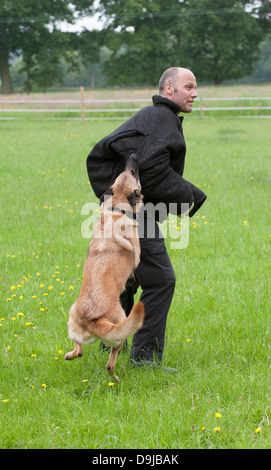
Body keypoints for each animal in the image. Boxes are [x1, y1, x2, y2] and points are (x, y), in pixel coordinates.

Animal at [64, 155, 144, 382]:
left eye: (127, 171)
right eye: (133, 173)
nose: (133, 156)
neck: (117, 208)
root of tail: (92, 318)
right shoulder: (137, 254)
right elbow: (135, 262)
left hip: (72, 319)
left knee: (79, 350)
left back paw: (69, 355)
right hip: (120, 330)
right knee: (110, 364)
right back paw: (116, 380)